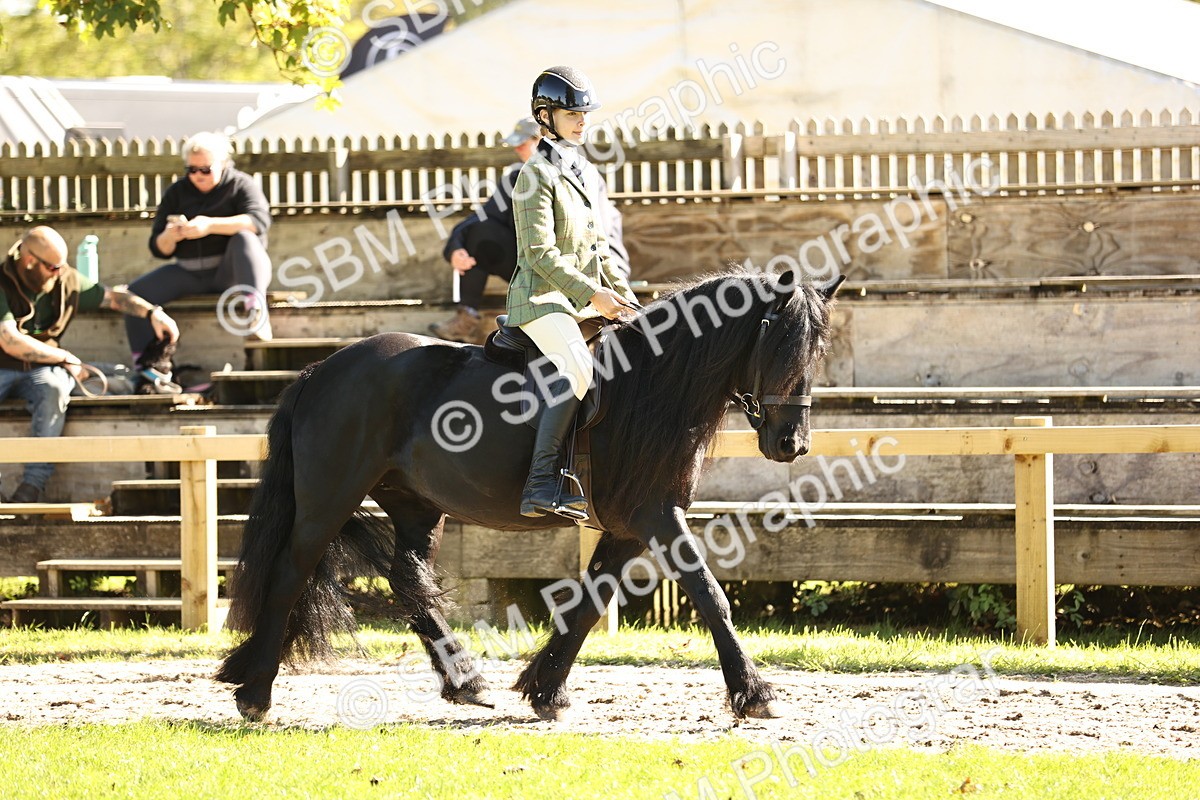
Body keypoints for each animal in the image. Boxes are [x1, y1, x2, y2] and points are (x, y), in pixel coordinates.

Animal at [216, 268, 845, 722]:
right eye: (778, 348)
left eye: (816, 353)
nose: (792, 443)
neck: (652, 387)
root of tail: (321, 369)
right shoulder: (656, 517)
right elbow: (711, 594)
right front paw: (755, 693)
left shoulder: (625, 527)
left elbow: (590, 602)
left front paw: (546, 691)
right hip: (329, 497)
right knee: (291, 572)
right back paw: (256, 694)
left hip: (416, 503)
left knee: (407, 577)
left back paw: (465, 682)